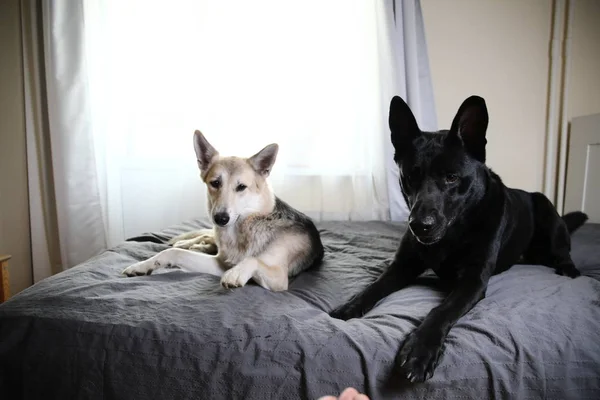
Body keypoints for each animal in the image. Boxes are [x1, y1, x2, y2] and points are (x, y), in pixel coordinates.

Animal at [122, 131, 326, 290]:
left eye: (241, 187)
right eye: (215, 183)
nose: (220, 219)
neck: (242, 229)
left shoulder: (279, 278)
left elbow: (252, 260)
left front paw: (235, 274)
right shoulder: (220, 263)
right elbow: (172, 253)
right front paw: (142, 265)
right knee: (203, 237)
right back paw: (189, 243)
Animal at [328, 95, 584, 382]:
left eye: (451, 178)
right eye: (410, 177)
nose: (419, 226)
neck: (454, 234)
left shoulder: (473, 281)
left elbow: (442, 310)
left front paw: (420, 350)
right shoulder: (402, 266)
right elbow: (374, 287)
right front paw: (350, 306)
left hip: (547, 211)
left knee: (563, 251)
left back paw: (568, 268)